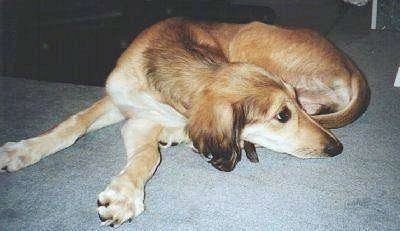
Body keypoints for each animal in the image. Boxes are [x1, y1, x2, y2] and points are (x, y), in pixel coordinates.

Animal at [0, 18, 368, 227]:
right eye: (283, 115)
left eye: (292, 105)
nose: (336, 147)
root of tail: (353, 68)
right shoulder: (120, 103)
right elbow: (73, 125)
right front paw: (23, 150)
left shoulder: (143, 123)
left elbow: (148, 156)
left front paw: (124, 195)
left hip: (250, 36)